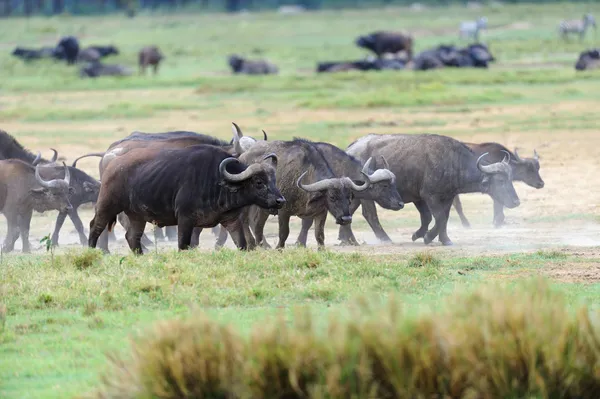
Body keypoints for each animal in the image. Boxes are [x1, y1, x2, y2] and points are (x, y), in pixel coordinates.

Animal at [88, 145, 284, 255]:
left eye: (274, 180)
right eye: (258, 182)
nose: (280, 201)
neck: (216, 180)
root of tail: (112, 164)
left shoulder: (231, 221)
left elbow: (241, 244)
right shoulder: (185, 220)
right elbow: (183, 245)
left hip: (137, 215)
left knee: (132, 236)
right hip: (107, 204)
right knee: (95, 226)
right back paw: (91, 251)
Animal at [238, 139, 370, 248]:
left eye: (349, 197)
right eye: (332, 197)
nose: (346, 219)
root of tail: (242, 157)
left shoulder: (321, 213)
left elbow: (319, 235)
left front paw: (322, 250)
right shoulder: (283, 212)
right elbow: (284, 233)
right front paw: (279, 248)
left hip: (264, 209)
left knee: (258, 225)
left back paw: (261, 245)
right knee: (245, 222)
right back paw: (250, 245)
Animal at [346, 134, 520, 247]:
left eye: (511, 178)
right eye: (500, 180)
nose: (516, 202)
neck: (452, 162)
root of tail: (351, 148)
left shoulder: (447, 197)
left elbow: (441, 218)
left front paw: (443, 239)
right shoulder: (429, 196)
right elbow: (439, 217)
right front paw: (428, 237)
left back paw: (348, 239)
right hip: (368, 194)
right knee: (370, 215)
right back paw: (385, 238)